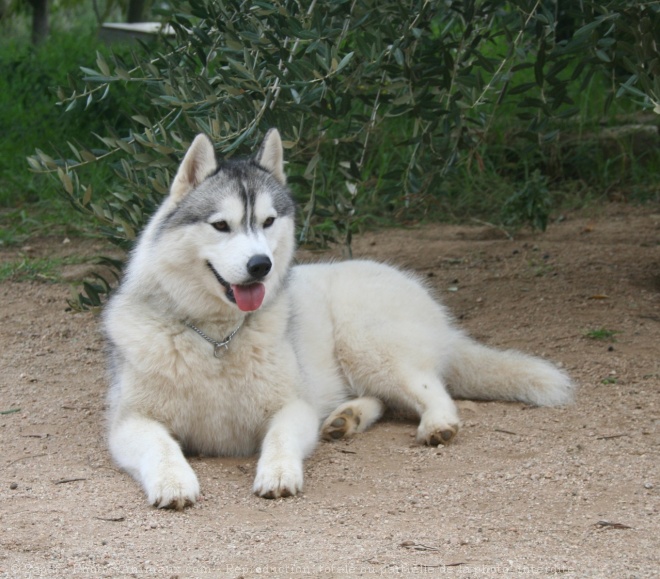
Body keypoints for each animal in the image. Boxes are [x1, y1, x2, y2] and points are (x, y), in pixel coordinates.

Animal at [104, 129, 572, 510]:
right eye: (221, 225)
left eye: (268, 222)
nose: (261, 265)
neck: (216, 338)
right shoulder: (129, 424)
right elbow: (161, 446)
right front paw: (173, 481)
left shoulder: (292, 407)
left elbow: (279, 438)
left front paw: (278, 471)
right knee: (380, 399)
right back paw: (347, 418)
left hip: (368, 346)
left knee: (431, 389)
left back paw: (436, 424)